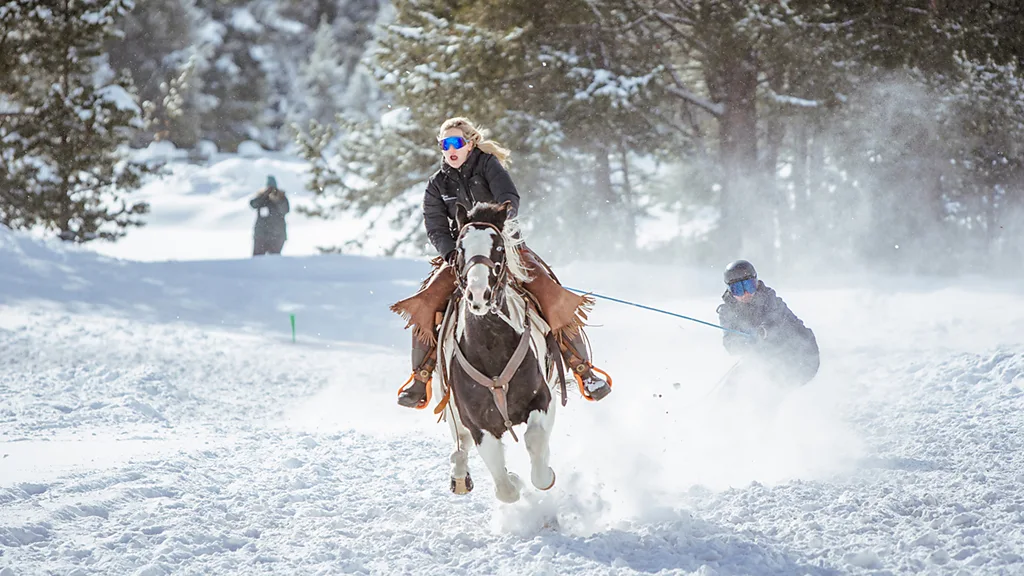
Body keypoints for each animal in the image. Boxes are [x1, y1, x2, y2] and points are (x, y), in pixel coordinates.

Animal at [435, 201, 563, 504]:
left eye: (499, 248)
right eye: (460, 247)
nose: (478, 294)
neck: (492, 349)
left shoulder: (542, 398)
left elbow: (535, 441)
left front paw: (545, 475)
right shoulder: (478, 424)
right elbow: (504, 487)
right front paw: (513, 481)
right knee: (460, 444)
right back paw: (459, 474)